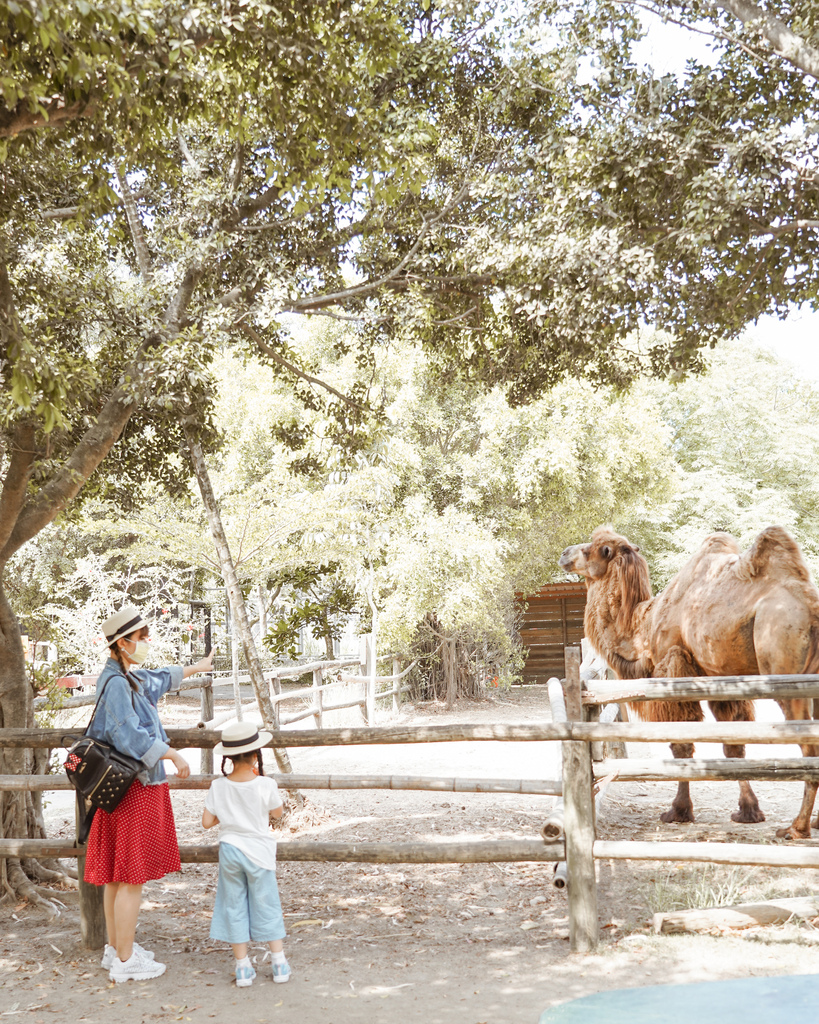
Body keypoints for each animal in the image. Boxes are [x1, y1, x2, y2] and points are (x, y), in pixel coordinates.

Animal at [561, 524, 818, 835]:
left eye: (591, 549)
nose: (564, 553)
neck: (642, 628)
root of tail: (811, 606)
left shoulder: (674, 664)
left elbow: (681, 744)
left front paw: (678, 811)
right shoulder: (722, 678)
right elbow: (734, 747)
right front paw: (748, 811)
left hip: (784, 663)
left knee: (809, 746)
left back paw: (797, 827)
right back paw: (812, 821)